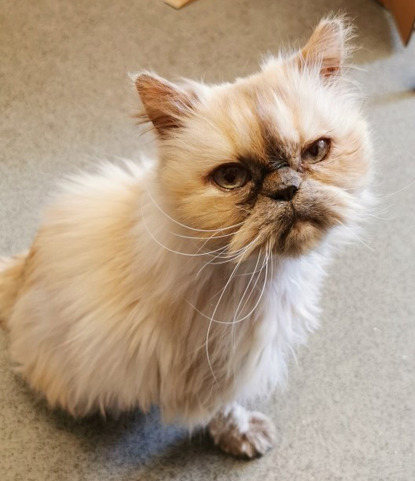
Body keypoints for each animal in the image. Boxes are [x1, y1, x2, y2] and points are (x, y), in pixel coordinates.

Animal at [0, 18, 374, 458]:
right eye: (231, 177)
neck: (262, 272)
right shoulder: (217, 367)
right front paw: (243, 438)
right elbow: (226, 410)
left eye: (316, 151)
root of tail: (25, 269)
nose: (286, 189)